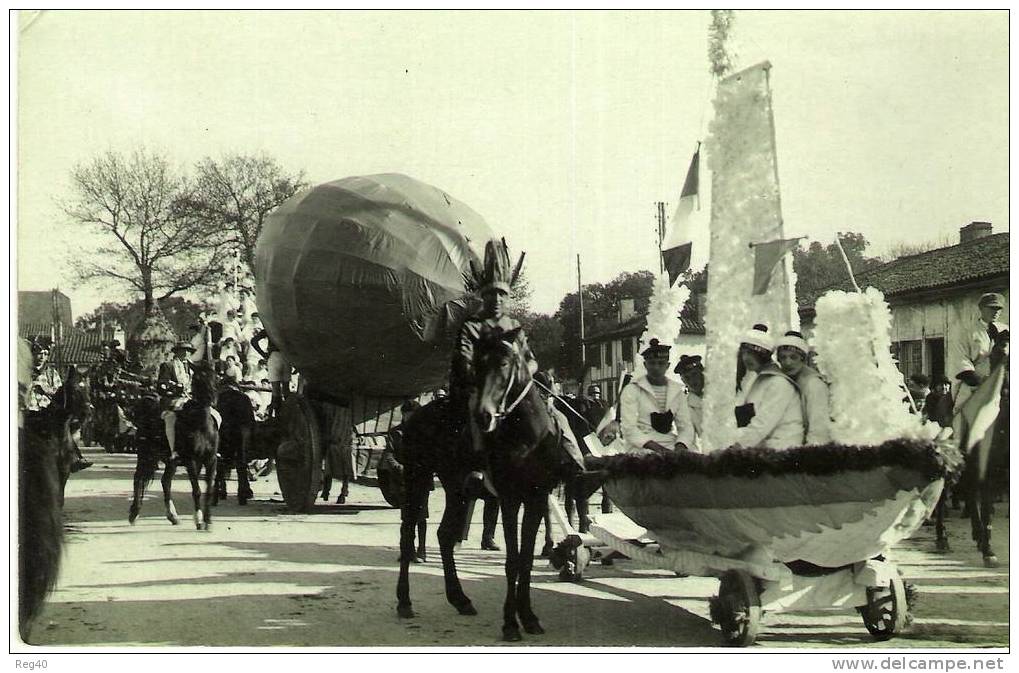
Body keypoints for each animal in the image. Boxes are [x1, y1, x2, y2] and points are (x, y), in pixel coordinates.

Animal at [393, 328, 578, 644]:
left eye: (504, 363)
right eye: (477, 366)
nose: (484, 415)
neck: (528, 437)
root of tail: (416, 416)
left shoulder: (537, 498)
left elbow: (526, 559)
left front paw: (529, 617)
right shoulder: (510, 499)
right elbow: (513, 560)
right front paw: (510, 623)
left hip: (456, 489)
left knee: (444, 536)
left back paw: (460, 599)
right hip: (418, 478)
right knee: (408, 535)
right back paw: (404, 601)